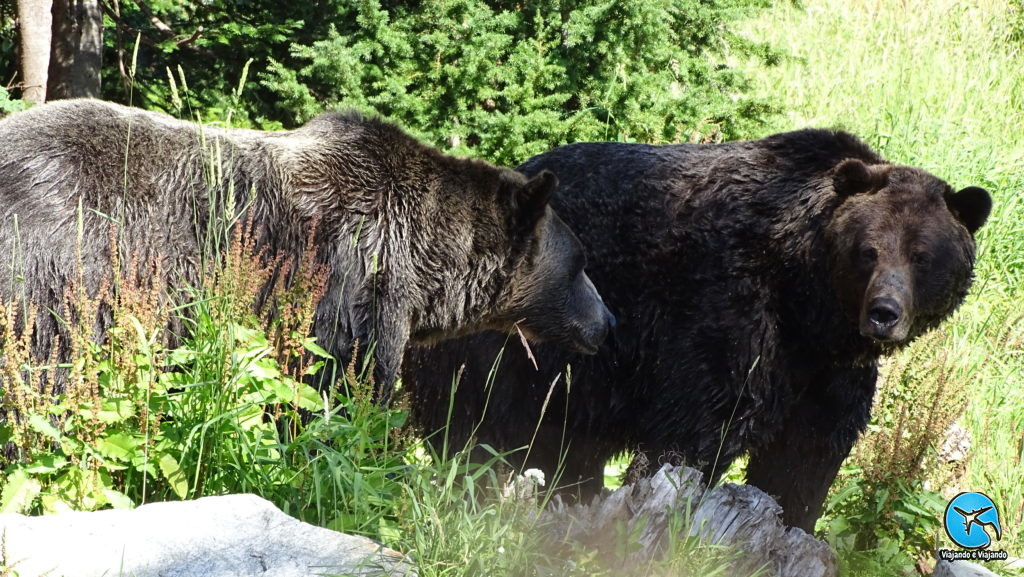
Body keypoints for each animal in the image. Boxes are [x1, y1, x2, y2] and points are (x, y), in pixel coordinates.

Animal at [0, 96, 610, 399]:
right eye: (581, 264)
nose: (608, 322)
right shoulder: (351, 278)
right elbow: (339, 377)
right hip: (61, 270)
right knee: (47, 367)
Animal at [407, 129, 991, 532]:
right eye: (868, 250)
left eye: (922, 255)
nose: (884, 313)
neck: (806, 305)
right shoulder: (726, 308)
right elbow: (698, 427)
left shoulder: (828, 375)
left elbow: (805, 457)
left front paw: (794, 516)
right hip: (507, 344)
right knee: (481, 426)